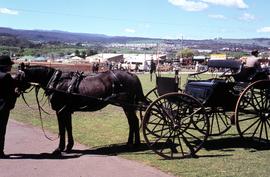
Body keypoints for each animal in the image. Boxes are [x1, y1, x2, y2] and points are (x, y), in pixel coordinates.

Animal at [15, 63, 147, 153]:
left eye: (18, 77)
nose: (15, 91)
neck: (56, 81)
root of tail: (132, 75)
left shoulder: (61, 110)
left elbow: (63, 128)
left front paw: (61, 148)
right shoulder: (65, 111)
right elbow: (67, 127)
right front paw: (67, 146)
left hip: (127, 105)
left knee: (134, 122)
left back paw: (136, 144)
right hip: (126, 106)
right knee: (132, 122)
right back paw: (130, 143)